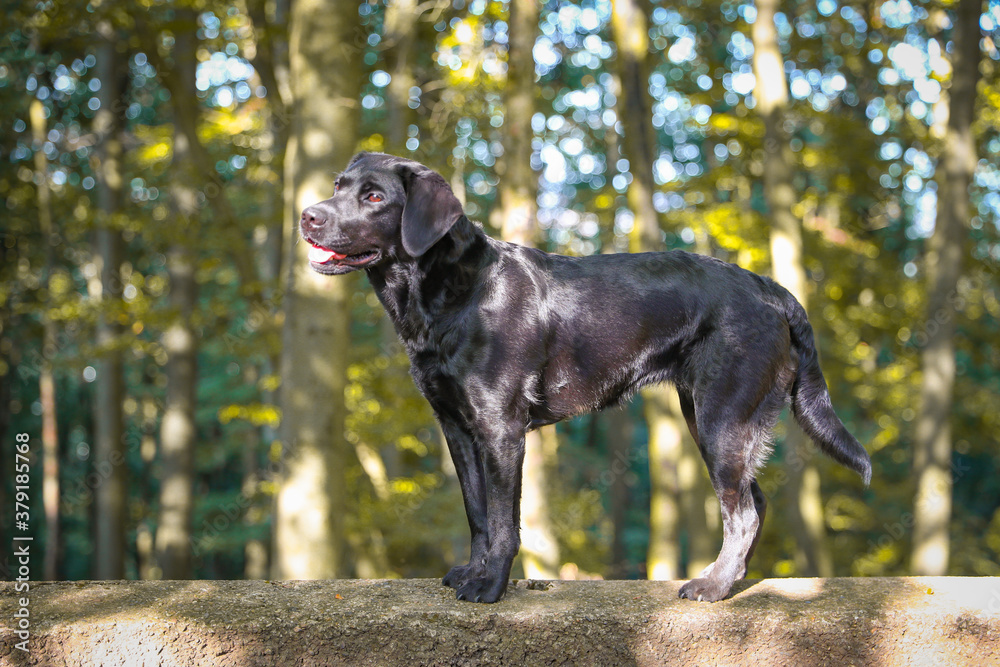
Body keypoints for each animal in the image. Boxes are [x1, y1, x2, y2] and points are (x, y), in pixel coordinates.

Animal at [298, 153, 868, 604]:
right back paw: (731, 580)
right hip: (709, 416)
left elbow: (503, 520)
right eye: (337, 186)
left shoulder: (500, 429)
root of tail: (771, 288)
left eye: (374, 196)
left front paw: (490, 586)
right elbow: (477, 513)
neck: (451, 292)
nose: (308, 215)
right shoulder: (457, 427)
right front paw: (471, 573)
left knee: (743, 512)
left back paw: (711, 586)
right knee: (755, 502)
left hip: (721, 418)